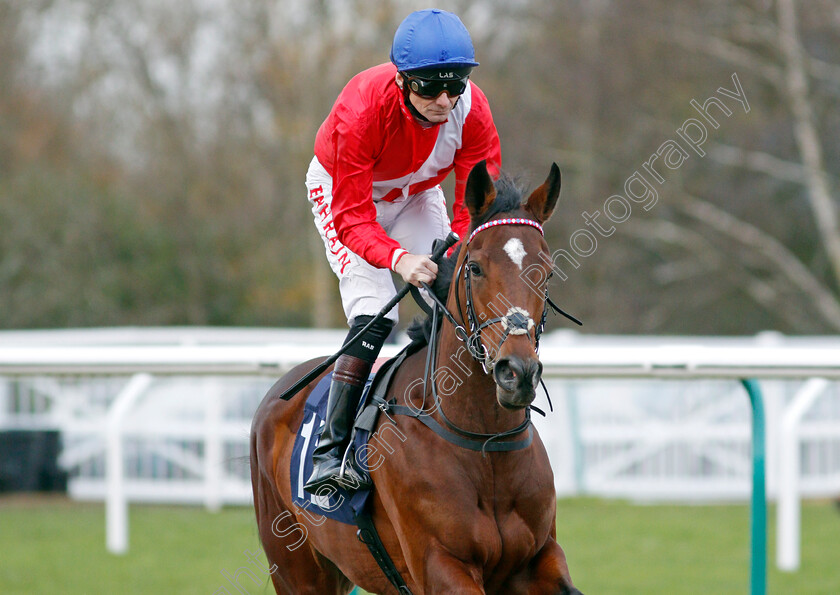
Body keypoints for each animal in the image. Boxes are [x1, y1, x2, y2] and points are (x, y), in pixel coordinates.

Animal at [249, 163, 584, 595]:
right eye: (475, 267)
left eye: (547, 272)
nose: (517, 373)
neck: (483, 441)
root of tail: (281, 388)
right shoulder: (441, 564)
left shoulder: (539, 558)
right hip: (296, 568)